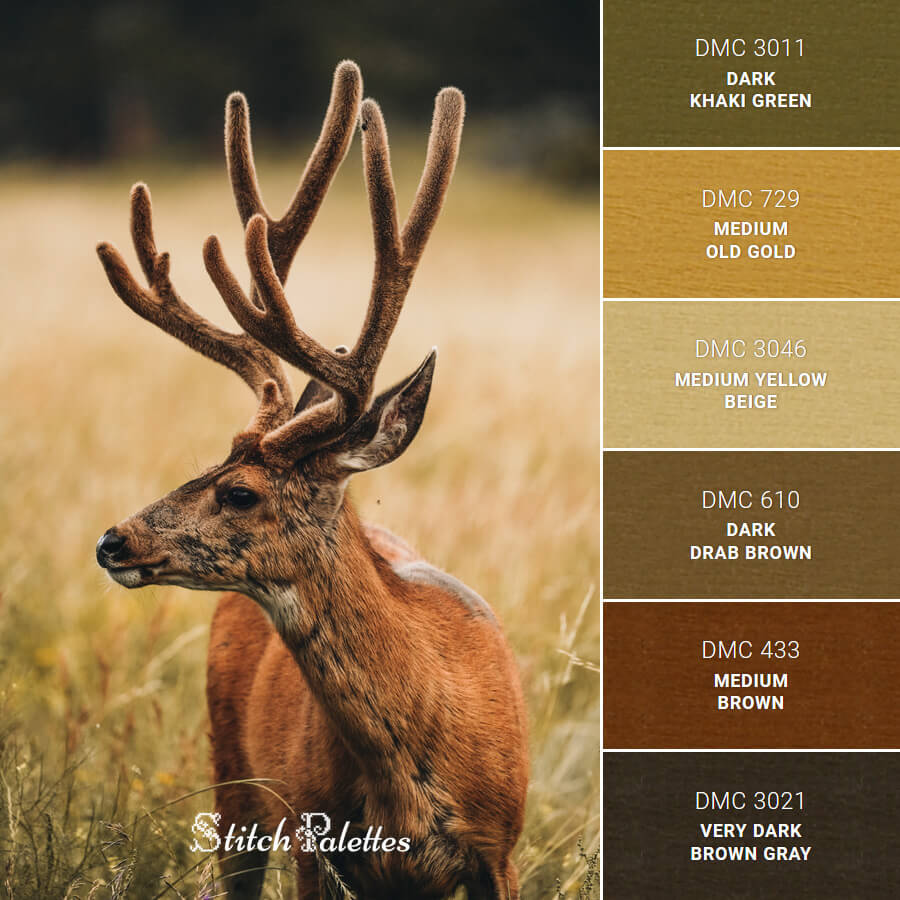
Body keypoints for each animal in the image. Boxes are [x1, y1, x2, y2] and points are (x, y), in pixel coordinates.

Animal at [94, 61, 529, 900]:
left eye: (239, 491)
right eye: (205, 463)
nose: (113, 540)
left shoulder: (502, 847)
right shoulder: (310, 833)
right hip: (233, 777)